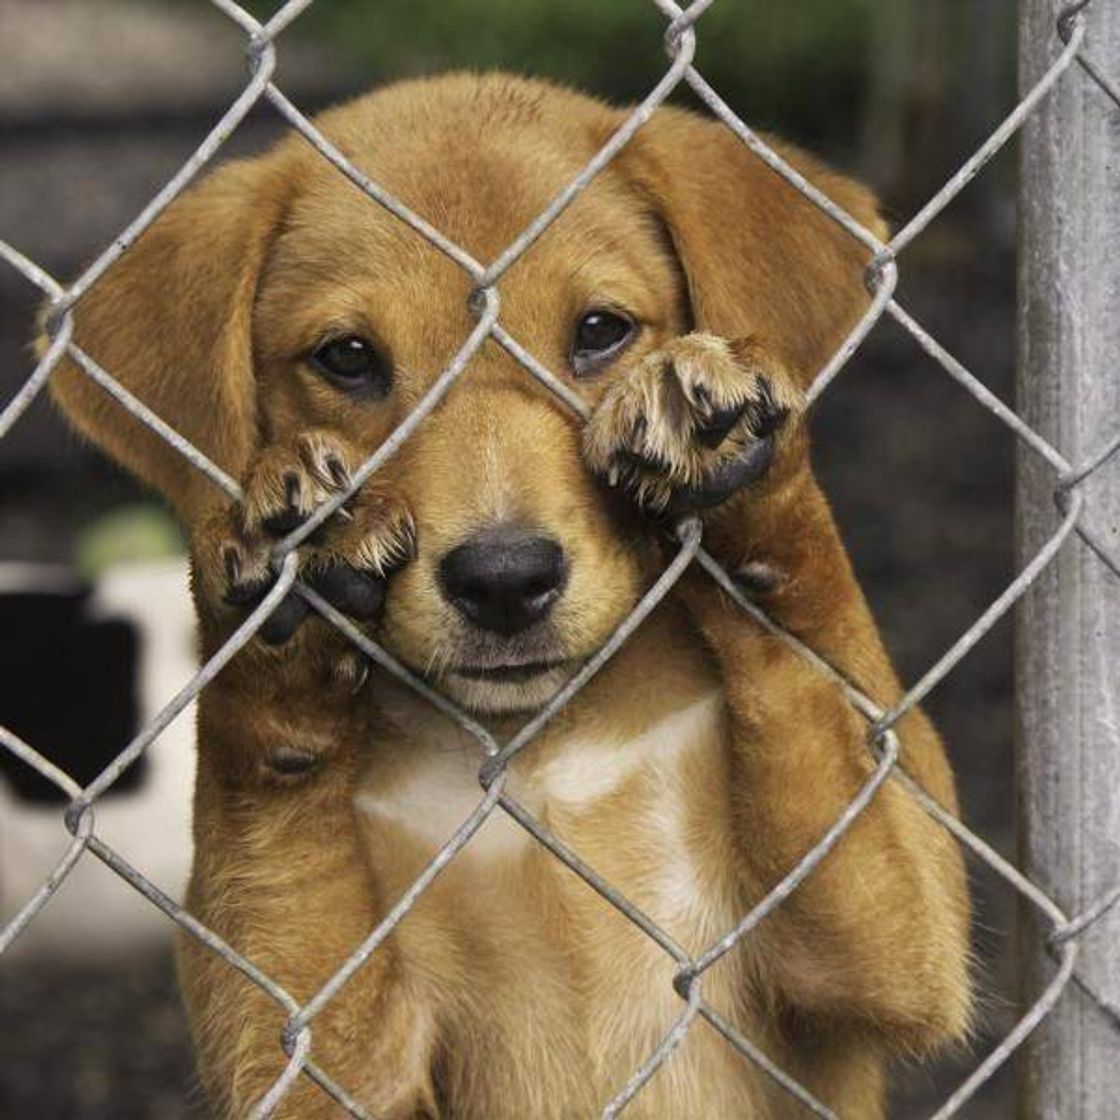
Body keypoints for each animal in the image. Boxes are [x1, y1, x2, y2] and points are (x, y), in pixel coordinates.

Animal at [45, 74, 972, 1115]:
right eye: (347, 357)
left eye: (601, 331)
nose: (504, 579)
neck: (541, 752)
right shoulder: (319, 1060)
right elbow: (275, 832)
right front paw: (279, 628)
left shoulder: (883, 959)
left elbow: (812, 652)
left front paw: (737, 457)